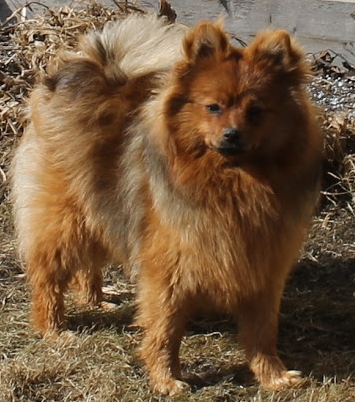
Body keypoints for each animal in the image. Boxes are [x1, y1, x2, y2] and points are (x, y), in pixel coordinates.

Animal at [11, 13, 322, 396]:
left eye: (256, 111)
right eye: (213, 107)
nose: (232, 134)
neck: (234, 181)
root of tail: (88, 69)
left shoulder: (261, 265)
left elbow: (263, 331)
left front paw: (273, 376)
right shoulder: (169, 270)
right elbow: (165, 328)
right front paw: (166, 378)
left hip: (98, 210)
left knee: (89, 262)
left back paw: (96, 299)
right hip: (64, 219)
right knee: (48, 276)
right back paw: (54, 327)